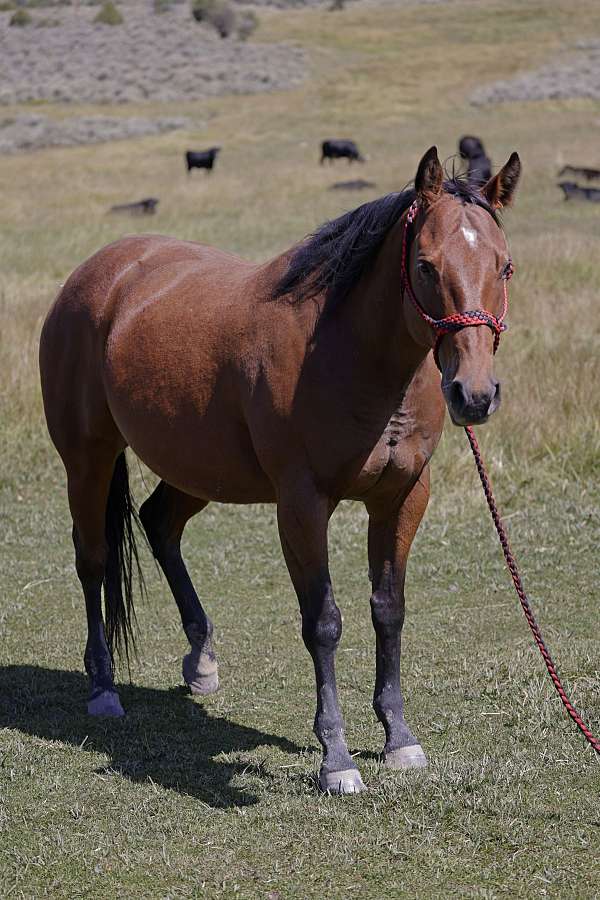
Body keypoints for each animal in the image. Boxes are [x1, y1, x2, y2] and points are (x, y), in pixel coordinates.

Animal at [39, 146, 521, 794]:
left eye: (505, 267)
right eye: (425, 266)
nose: (474, 394)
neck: (350, 355)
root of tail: (95, 274)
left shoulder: (401, 498)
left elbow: (388, 610)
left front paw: (399, 738)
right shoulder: (301, 504)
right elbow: (324, 623)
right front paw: (336, 759)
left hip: (199, 469)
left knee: (159, 523)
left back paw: (202, 659)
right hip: (87, 460)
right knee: (92, 562)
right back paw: (103, 687)